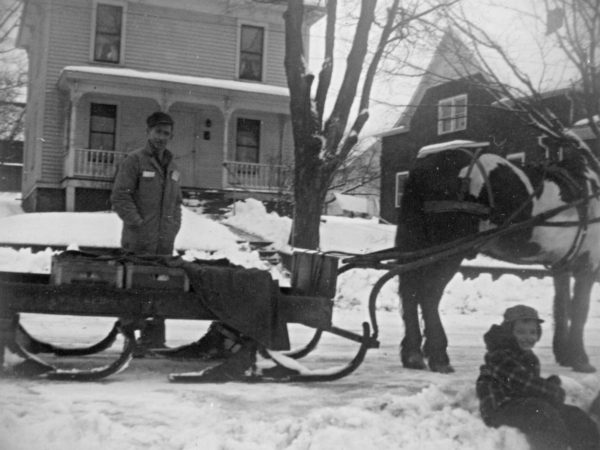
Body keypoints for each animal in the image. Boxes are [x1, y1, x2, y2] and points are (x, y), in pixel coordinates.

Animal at [396, 135, 596, 374]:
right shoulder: (588, 262)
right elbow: (580, 310)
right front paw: (580, 359)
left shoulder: (561, 265)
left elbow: (561, 307)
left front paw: (564, 355)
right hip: (448, 250)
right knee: (428, 295)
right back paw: (438, 356)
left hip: (419, 244)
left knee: (410, 292)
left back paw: (412, 355)